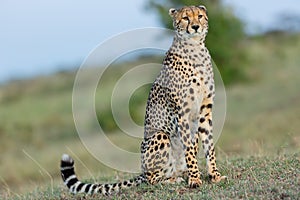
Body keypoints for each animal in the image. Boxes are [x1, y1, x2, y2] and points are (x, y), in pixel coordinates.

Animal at [60, 5, 225, 195]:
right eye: (185, 18)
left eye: (200, 16)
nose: (196, 26)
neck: (195, 49)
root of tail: (143, 171)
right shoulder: (182, 113)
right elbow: (190, 151)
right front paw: (195, 180)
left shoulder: (205, 110)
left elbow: (209, 145)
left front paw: (214, 175)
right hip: (160, 136)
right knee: (153, 178)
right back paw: (172, 180)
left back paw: (181, 175)